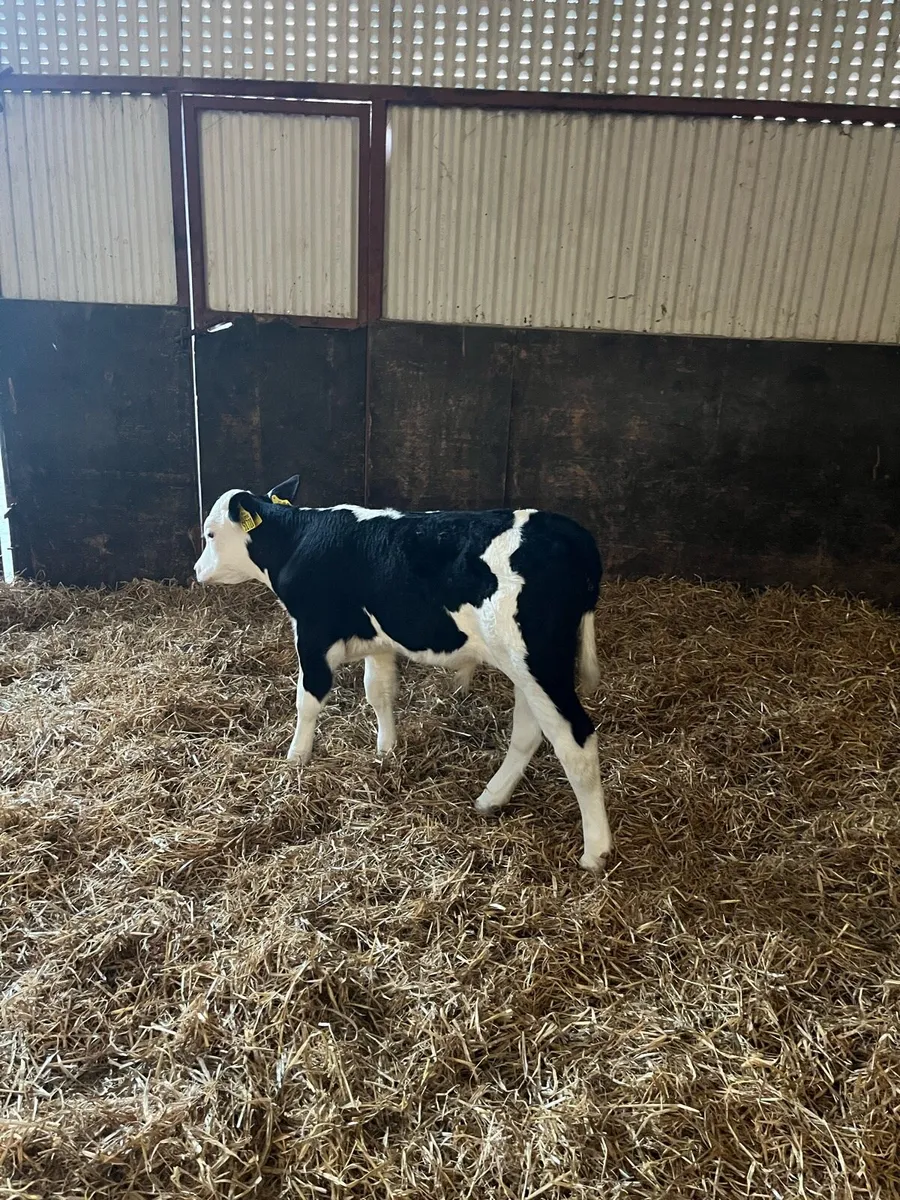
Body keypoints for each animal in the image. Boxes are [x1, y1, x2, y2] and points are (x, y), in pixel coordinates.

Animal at [194, 475, 611, 870]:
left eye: (210, 534)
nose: (197, 570)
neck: (299, 539)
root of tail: (574, 534)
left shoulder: (312, 635)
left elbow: (307, 702)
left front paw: (296, 757)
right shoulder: (377, 641)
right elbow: (378, 691)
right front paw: (386, 749)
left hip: (541, 663)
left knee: (575, 741)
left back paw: (596, 851)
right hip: (522, 668)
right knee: (528, 732)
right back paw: (491, 797)